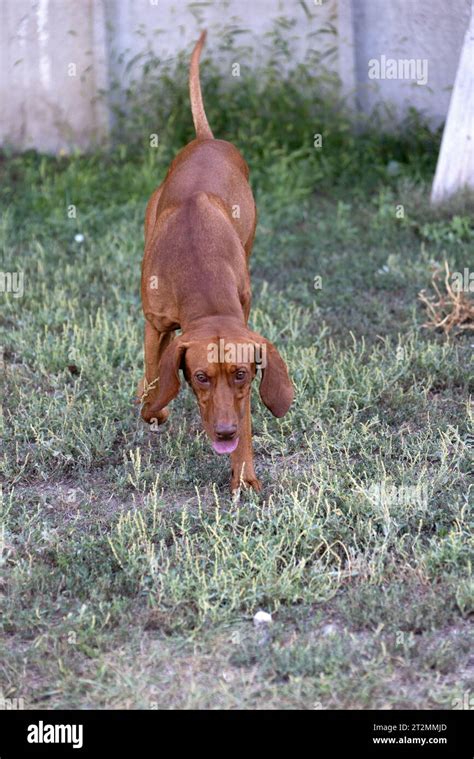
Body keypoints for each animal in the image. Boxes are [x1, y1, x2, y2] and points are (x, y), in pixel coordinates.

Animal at [137, 32, 292, 492]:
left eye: (241, 375)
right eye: (201, 377)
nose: (224, 433)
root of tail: (206, 138)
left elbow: (247, 415)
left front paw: (243, 474)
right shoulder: (155, 324)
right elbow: (155, 379)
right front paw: (154, 407)